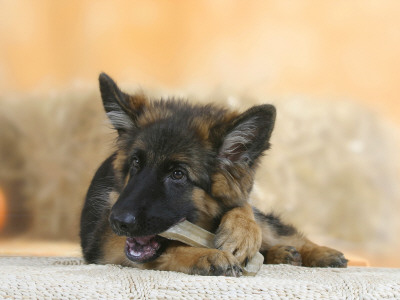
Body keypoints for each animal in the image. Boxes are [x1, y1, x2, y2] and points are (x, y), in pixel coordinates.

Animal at [80, 73, 346, 276]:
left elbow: (242, 207)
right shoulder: (105, 242)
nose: (118, 221)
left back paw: (317, 252)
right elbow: (169, 249)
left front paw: (241, 232)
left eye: (178, 174)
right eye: (136, 163)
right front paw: (204, 255)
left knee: (277, 232)